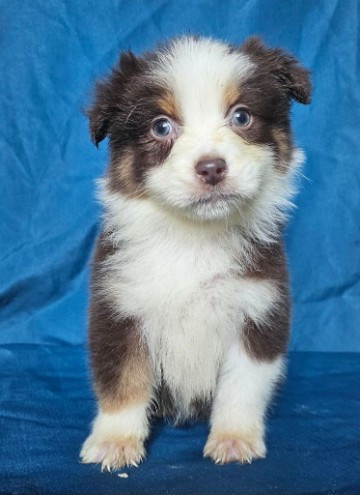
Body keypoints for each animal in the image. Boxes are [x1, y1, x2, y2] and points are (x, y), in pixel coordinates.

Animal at [80, 36, 310, 470]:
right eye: (161, 126)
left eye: (241, 117)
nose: (211, 168)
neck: (193, 239)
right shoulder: (119, 308)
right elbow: (123, 381)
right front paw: (115, 442)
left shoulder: (258, 310)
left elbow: (242, 385)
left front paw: (234, 438)